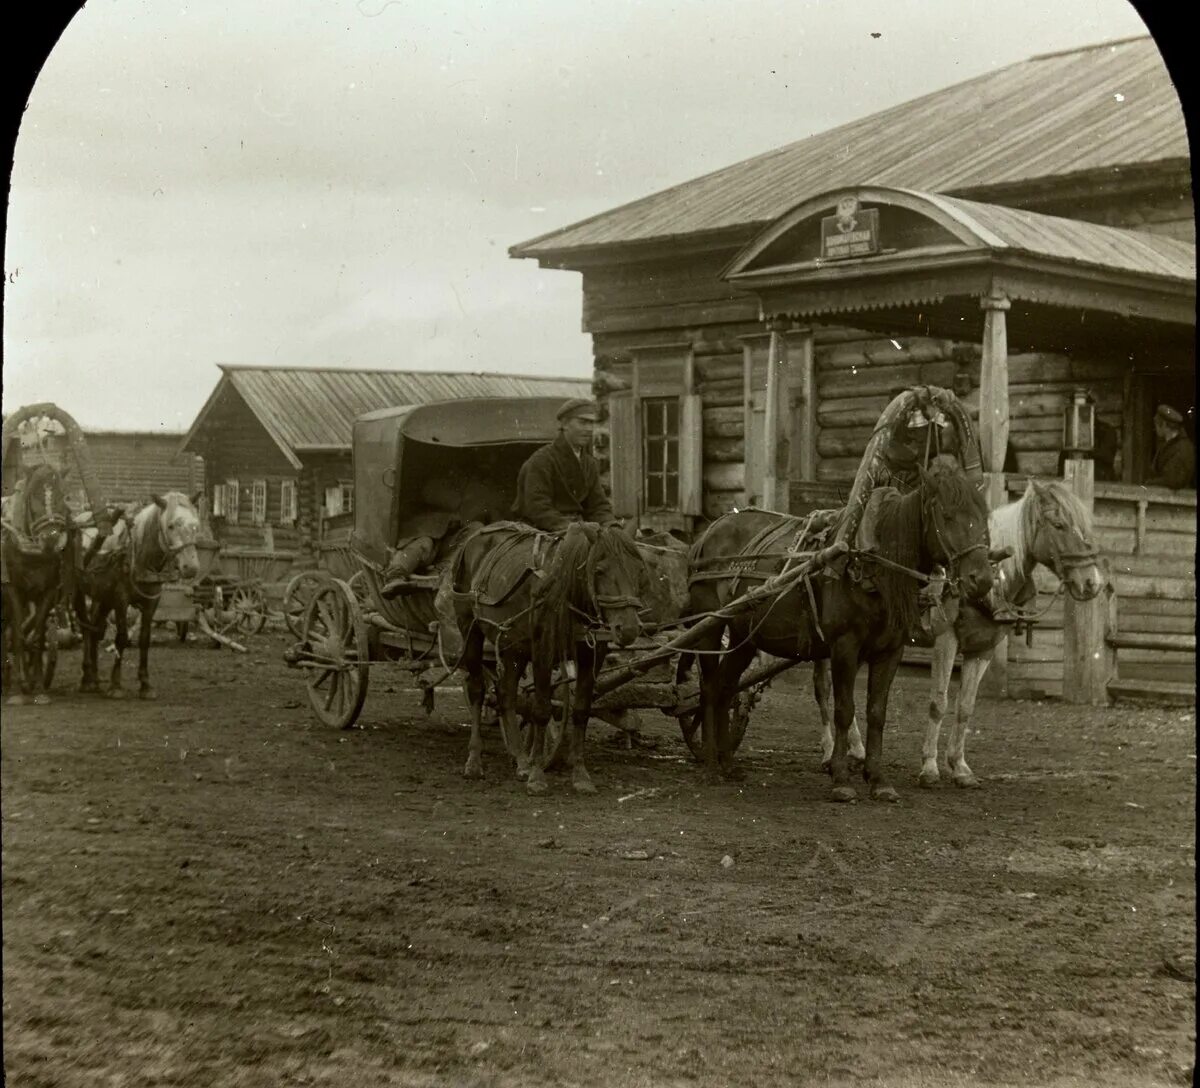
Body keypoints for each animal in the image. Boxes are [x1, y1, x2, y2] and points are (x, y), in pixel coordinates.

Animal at [0, 460, 72, 705]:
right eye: (33, 495)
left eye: (62, 494)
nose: (51, 538)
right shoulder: (13, 589)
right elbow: (18, 634)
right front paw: (17, 690)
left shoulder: (47, 591)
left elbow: (38, 634)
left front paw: (38, 686)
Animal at [75, 491, 199, 700]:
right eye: (170, 525)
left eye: (196, 524)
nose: (190, 567)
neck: (138, 555)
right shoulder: (121, 600)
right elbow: (122, 637)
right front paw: (116, 685)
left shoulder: (152, 602)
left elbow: (144, 639)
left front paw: (145, 685)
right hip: (81, 593)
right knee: (85, 628)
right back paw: (86, 678)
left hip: (102, 597)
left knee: (95, 629)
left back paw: (95, 678)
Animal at [451, 523, 648, 796]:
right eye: (599, 570)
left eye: (639, 570)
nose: (628, 628)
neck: (565, 592)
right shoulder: (542, 649)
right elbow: (541, 710)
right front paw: (537, 776)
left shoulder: (592, 654)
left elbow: (581, 711)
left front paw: (580, 775)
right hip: (470, 630)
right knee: (478, 691)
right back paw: (474, 761)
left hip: (514, 646)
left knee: (506, 695)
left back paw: (520, 759)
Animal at [686, 455, 993, 806]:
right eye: (947, 515)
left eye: (983, 516)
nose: (982, 580)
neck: (872, 564)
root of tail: (709, 532)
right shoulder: (845, 646)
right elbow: (845, 710)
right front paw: (842, 779)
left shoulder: (891, 650)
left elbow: (877, 712)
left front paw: (878, 780)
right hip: (709, 628)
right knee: (710, 688)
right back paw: (710, 765)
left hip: (744, 636)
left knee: (726, 687)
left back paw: (727, 763)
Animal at [811, 479, 1099, 786]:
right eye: (1059, 525)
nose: (1092, 582)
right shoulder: (945, 640)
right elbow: (938, 702)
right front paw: (929, 766)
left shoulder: (983, 649)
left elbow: (965, 707)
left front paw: (959, 766)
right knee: (824, 688)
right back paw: (829, 752)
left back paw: (856, 750)